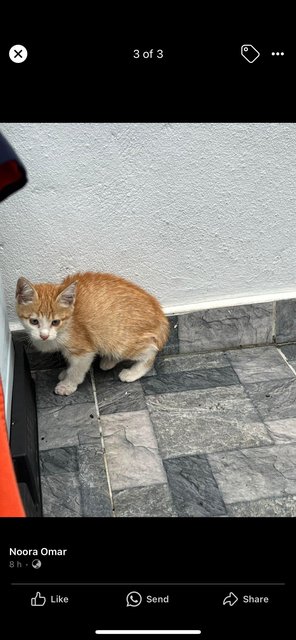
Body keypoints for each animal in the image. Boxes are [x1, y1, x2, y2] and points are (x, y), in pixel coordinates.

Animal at [15, 274, 169, 398]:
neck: (68, 323)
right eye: (34, 321)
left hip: (122, 341)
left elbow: (77, 370)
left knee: (150, 351)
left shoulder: (84, 351)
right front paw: (65, 373)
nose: (44, 335)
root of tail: (160, 314)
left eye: (55, 322)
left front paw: (67, 384)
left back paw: (133, 372)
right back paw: (109, 361)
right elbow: (71, 364)